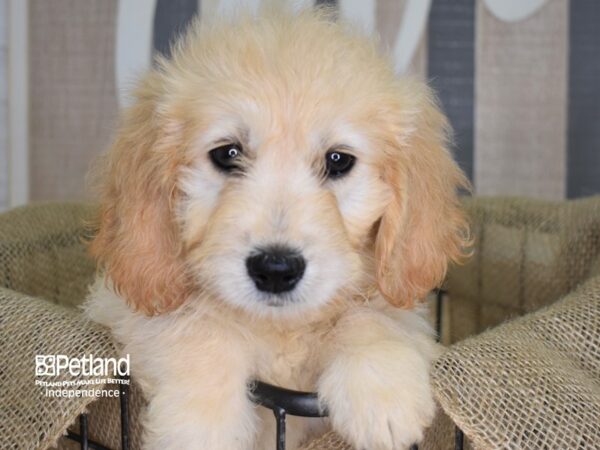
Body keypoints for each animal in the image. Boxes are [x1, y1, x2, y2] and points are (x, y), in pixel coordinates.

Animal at [85, 7, 468, 450]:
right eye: (227, 154)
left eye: (338, 160)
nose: (276, 269)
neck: (279, 328)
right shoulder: (126, 308)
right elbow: (196, 325)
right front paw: (201, 425)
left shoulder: (397, 296)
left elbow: (374, 314)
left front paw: (382, 393)